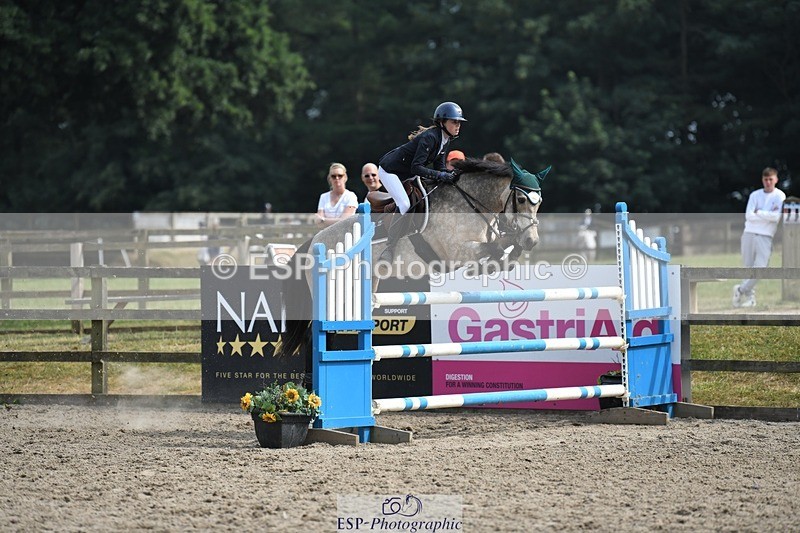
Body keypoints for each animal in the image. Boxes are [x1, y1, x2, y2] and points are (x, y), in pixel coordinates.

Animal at [276, 157, 548, 368]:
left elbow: (500, 249)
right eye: (521, 200)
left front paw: (503, 260)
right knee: (315, 337)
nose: (532, 240)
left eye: (539, 203)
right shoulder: (457, 251)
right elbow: (493, 247)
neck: (469, 203)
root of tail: (314, 241)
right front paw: (498, 258)